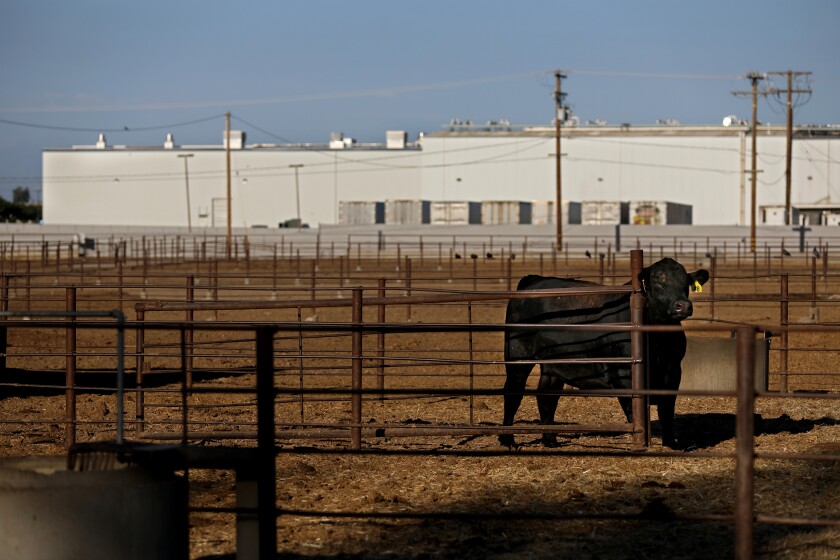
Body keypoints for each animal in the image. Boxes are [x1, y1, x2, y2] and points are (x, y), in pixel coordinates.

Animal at [498, 256, 708, 448]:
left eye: (686, 283)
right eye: (657, 280)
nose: (683, 305)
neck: (657, 341)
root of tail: (533, 280)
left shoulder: (672, 371)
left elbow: (667, 409)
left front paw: (671, 443)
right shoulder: (621, 375)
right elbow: (634, 410)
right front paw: (641, 442)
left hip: (554, 364)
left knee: (547, 396)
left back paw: (550, 439)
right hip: (518, 356)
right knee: (513, 393)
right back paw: (507, 439)